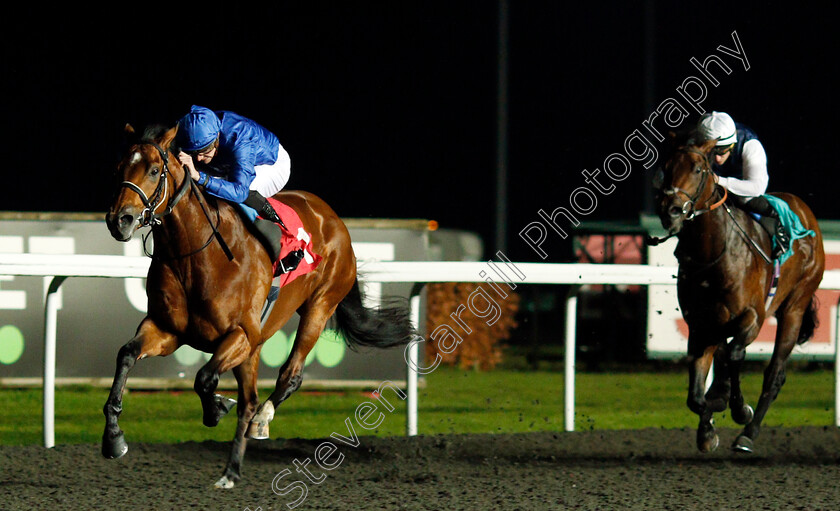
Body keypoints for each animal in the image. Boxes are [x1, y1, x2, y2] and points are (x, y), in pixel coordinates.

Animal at [104, 124, 416, 488]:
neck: (195, 255)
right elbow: (126, 354)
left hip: (318, 307)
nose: (119, 220)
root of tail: (332, 218)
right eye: (118, 169)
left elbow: (205, 378)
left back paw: (259, 424)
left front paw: (216, 408)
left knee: (286, 378)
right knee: (250, 400)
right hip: (256, 344)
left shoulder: (240, 333)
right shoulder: (167, 330)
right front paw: (113, 438)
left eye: (154, 170)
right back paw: (231, 471)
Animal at [652, 135, 824, 452]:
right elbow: (696, 396)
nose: (670, 210)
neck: (714, 252)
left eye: (698, 169)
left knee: (773, 374)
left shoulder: (752, 317)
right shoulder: (701, 325)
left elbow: (734, 355)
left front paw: (740, 409)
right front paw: (707, 430)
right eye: (665, 168)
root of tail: (804, 211)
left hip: (795, 305)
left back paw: (748, 433)